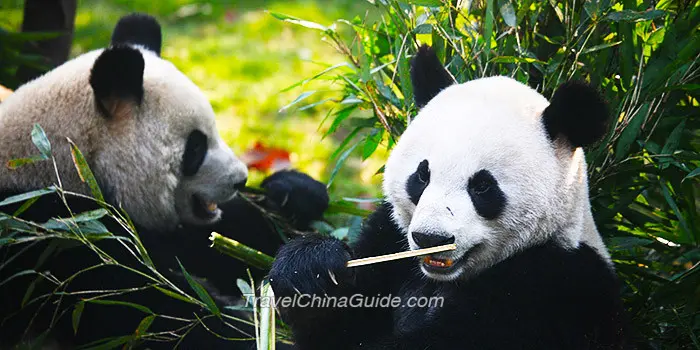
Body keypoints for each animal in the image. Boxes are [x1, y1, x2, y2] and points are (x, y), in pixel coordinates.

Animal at [0, 13, 330, 348]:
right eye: (195, 147)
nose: (240, 179)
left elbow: (228, 238)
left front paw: (292, 196)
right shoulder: (56, 242)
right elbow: (162, 317)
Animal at [268, 45, 628, 348]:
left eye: (482, 187)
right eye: (422, 175)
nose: (431, 238)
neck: (442, 280)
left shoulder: (555, 289)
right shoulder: (388, 240)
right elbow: (342, 325)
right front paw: (310, 269)